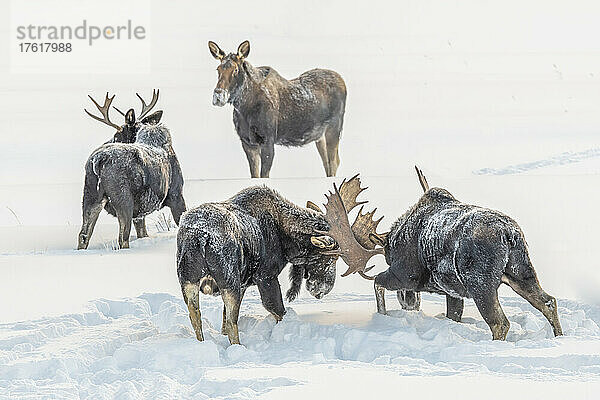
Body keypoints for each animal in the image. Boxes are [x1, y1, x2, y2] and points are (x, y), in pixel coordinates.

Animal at [77, 90, 186, 250]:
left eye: (117, 135)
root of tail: (98, 161)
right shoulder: (176, 194)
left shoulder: (140, 213)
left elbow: (143, 233)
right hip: (123, 199)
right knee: (123, 237)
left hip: (90, 196)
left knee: (83, 235)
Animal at [209, 40, 346, 178]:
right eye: (218, 69)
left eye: (236, 69)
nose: (218, 95)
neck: (244, 108)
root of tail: (342, 81)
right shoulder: (248, 142)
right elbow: (255, 175)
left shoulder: (268, 140)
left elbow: (264, 175)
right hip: (319, 136)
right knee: (328, 163)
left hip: (334, 128)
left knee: (334, 162)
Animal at [316, 169, 564, 340]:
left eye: (389, 256)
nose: (409, 301)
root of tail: (508, 234)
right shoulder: (452, 292)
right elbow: (453, 314)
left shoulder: (405, 275)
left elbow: (377, 283)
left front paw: (383, 319)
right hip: (520, 272)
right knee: (548, 301)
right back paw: (559, 338)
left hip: (481, 283)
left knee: (500, 322)